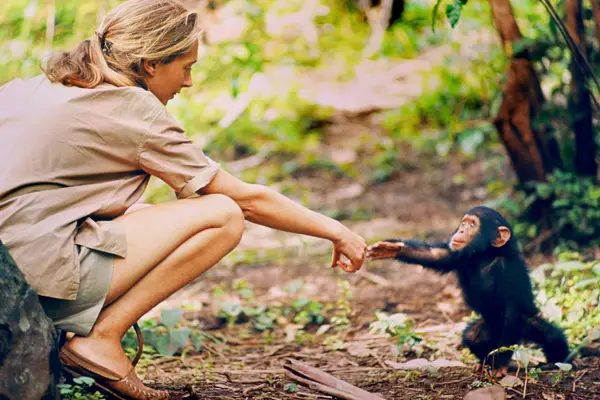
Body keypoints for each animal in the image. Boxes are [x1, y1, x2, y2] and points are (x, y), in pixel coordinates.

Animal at [368, 206, 568, 376]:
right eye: (464, 223)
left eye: (472, 225)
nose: (461, 230)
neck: (485, 255)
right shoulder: (458, 255)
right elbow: (435, 255)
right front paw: (391, 248)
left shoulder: (509, 271)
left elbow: (511, 311)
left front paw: (501, 364)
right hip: (488, 329)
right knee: (473, 337)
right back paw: (484, 362)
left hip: (524, 325)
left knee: (551, 336)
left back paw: (557, 361)